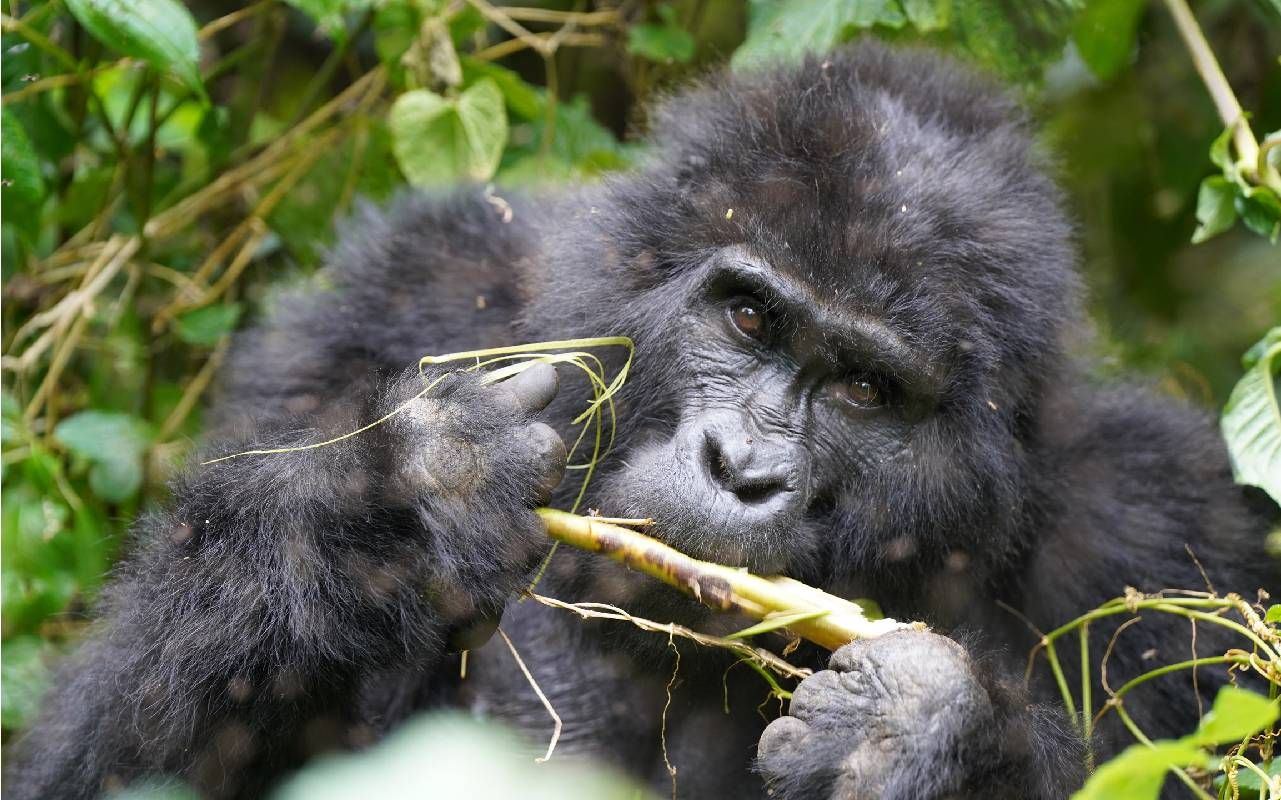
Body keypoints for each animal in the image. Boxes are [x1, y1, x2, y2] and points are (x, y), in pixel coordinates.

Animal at [5, 42, 1275, 798]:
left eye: (865, 390)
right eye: (750, 316)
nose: (741, 467)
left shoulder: (1163, 527)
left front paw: (927, 729)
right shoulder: (401, 292)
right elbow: (94, 762)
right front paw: (396, 508)